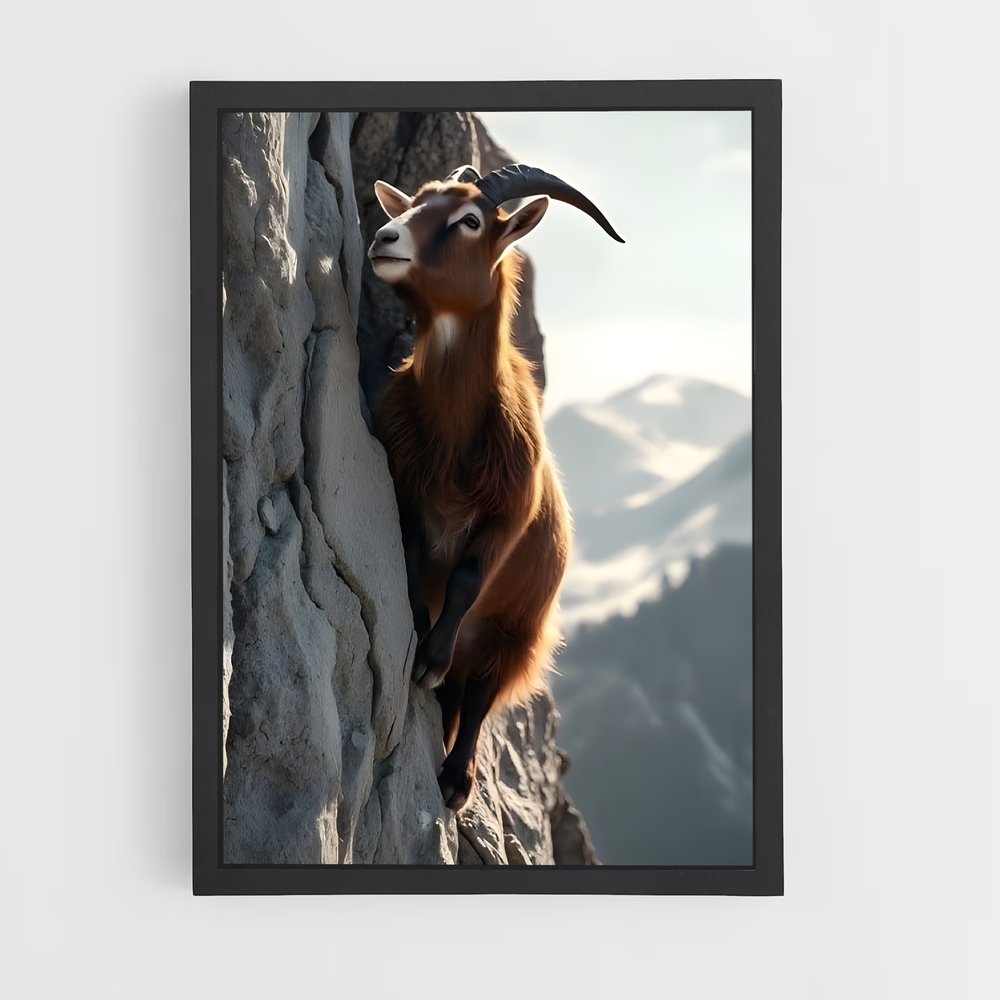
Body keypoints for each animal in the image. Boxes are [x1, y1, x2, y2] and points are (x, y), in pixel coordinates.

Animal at [369, 163, 623, 810]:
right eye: (415, 202)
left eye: (470, 220)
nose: (384, 238)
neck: (455, 433)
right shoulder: (405, 486)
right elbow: (413, 556)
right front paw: (418, 626)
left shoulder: (509, 515)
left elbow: (465, 578)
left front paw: (430, 658)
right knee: (459, 700)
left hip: (514, 636)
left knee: (480, 696)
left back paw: (455, 780)